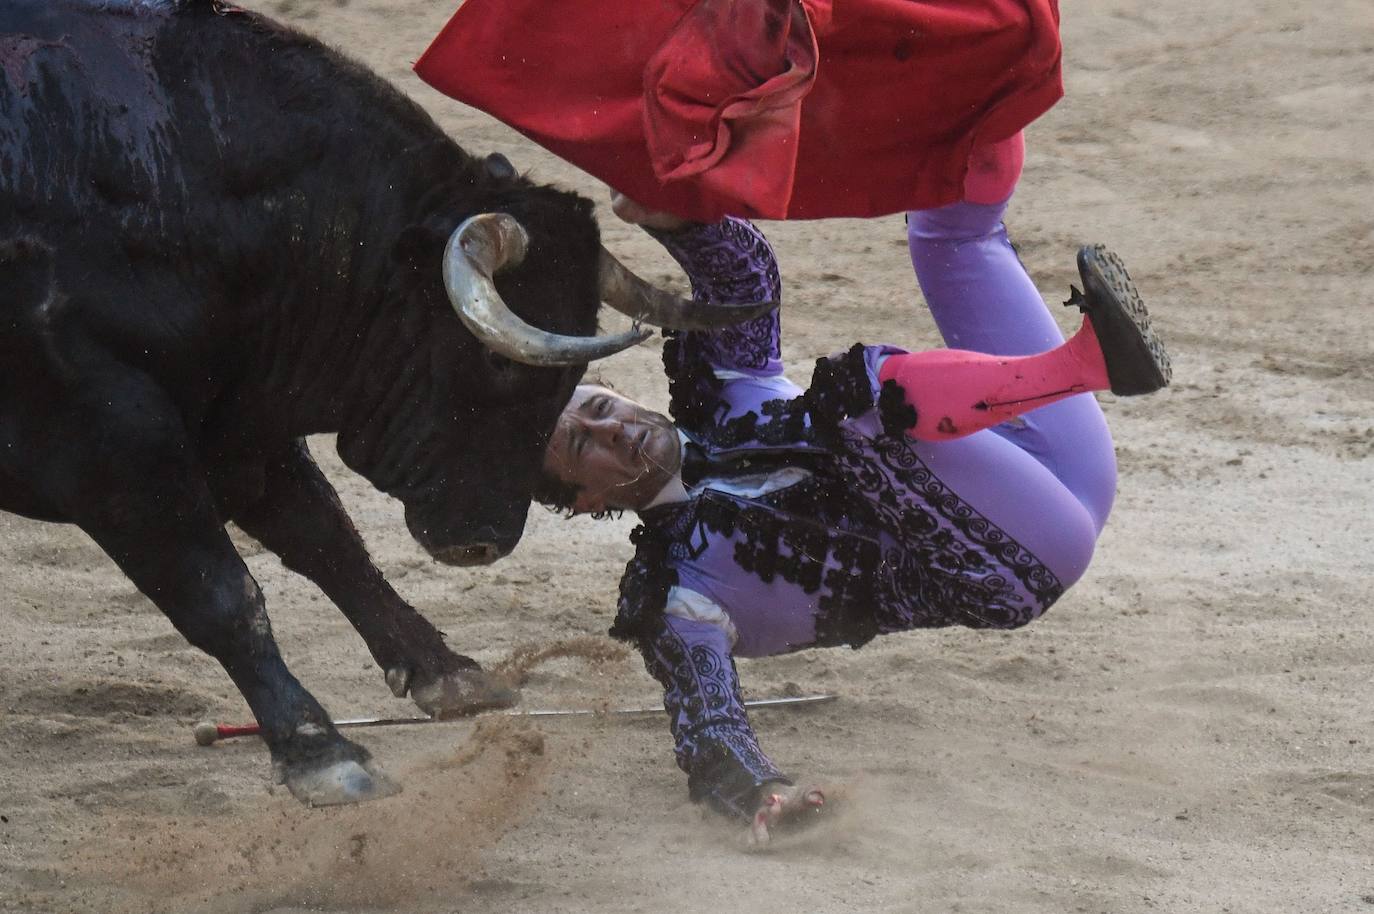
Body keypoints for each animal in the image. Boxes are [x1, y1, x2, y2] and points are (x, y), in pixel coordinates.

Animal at [0, 0, 763, 802]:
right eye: (496, 360)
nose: (484, 542)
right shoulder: (108, 436)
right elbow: (221, 590)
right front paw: (320, 750)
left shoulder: (232, 422)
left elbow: (325, 537)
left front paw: (449, 673)